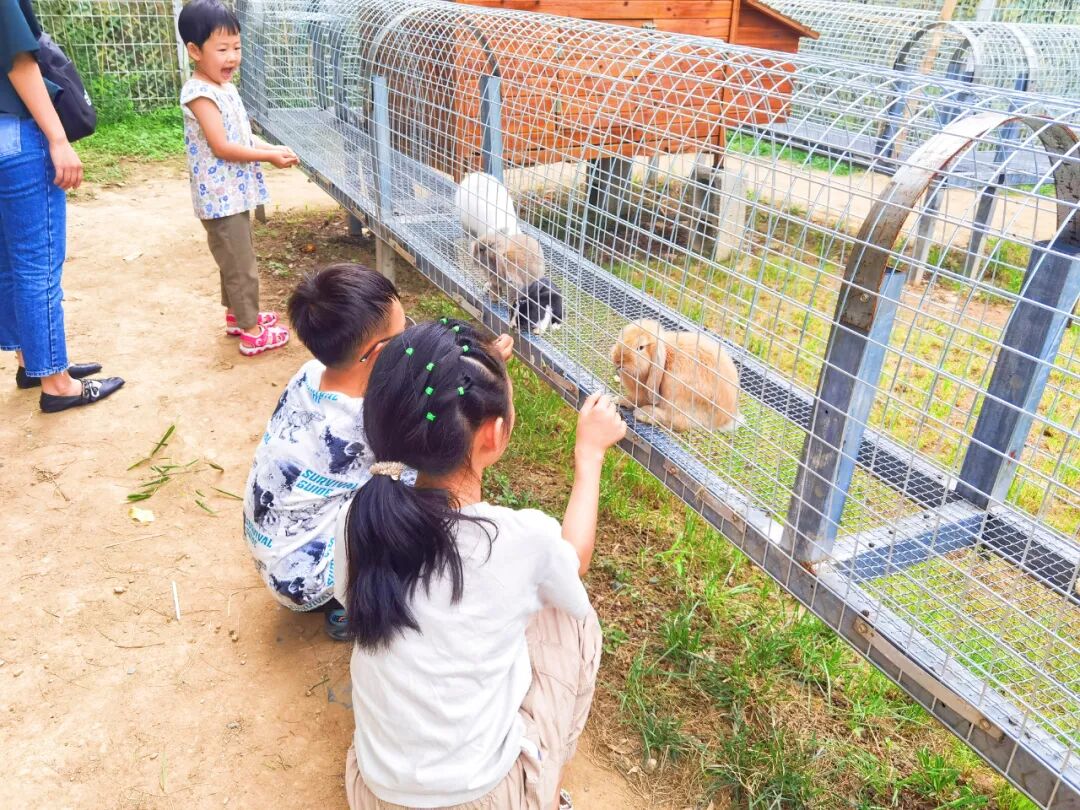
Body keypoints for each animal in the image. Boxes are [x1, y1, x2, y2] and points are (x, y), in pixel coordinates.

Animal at [610, 319, 740, 433]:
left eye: (640, 347)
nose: (617, 359)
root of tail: (725, 419)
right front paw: (617, 399)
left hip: (677, 392)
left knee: (678, 421)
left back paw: (644, 413)